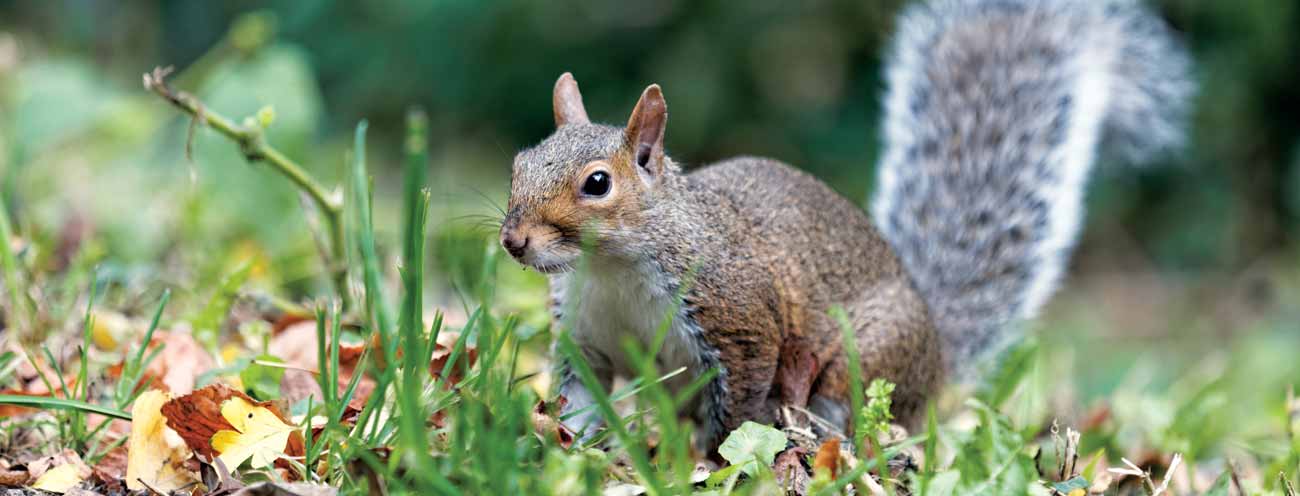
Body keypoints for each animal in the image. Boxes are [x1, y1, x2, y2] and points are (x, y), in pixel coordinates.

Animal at [496, 0, 1190, 451]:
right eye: (520, 162)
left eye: (597, 184)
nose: (513, 241)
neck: (611, 269)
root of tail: (936, 362)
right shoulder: (585, 330)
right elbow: (583, 392)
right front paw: (564, 440)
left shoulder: (738, 318)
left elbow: (737, 407)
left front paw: (710, 461)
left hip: (865, 359)